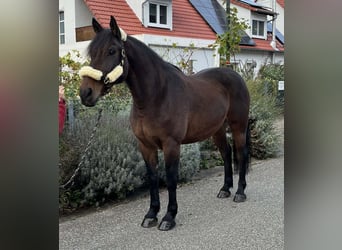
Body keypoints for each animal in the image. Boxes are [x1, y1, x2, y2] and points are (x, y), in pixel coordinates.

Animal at [80, 15, 251, 230]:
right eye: (91, 53)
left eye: (111, 50)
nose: (85, 93)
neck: (156, 96)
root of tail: (236, 75)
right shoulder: (145, 146)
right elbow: (153, 178)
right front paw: (151, 214)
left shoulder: (171, 144)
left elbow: (170, 179)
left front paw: (169, 217)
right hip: (217, 129)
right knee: (226, 153)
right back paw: (225, 189)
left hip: (238, 126)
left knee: (241, 154)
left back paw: (240, 192)